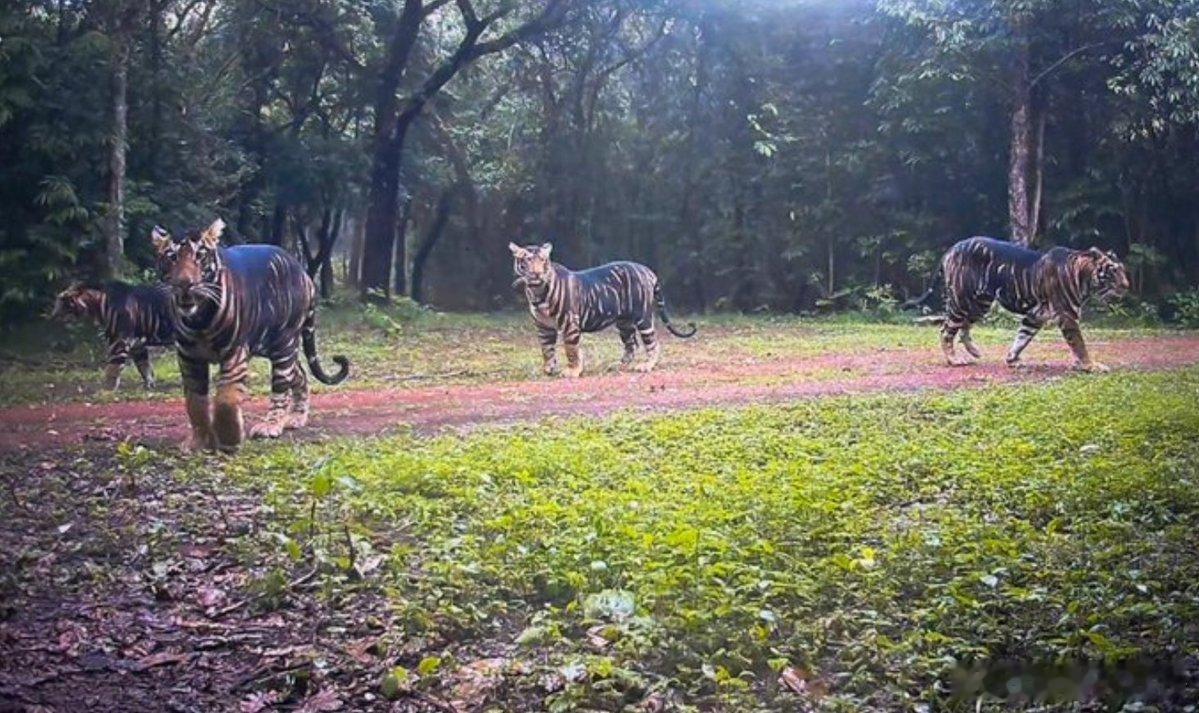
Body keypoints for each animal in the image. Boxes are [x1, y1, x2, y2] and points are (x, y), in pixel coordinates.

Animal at [151, 218, 349, 453]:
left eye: (200, 255)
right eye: (172, 257)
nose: (184, 283)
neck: (199, 319)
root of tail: (304, 274)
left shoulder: (234, 353)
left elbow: (226, 398)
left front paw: (230, 439)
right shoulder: (188, 357)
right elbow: (195, 402)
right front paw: (198, 441)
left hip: (283, 344)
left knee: (282, 387)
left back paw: (271, 426)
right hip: (271, 345)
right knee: (299, 373)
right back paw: (296, 417)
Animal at [508, 242, 696, 377]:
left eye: (542, 260)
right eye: (527, 260)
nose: (537, 273)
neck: (537, 291)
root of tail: (647, 270)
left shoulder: (569, 323)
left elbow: (571, 349)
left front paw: (573, 371)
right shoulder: (544, 326)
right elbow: (546, 349)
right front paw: (549, 369)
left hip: (642, 317)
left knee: (652, 343)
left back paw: (646, 366)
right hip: (624, 322)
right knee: (631, 344)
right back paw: (619, 366)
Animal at [913, 236, 1130, 372]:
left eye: (1122, 270)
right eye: (1113, 272)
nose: (1126, 286)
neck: (1083, 277)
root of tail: (952, 248)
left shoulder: (1034, 316)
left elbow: (1022, 338)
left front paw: (1012, 359)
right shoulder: (1067, 315)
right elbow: (1078, 343)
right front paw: (1089, 366)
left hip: (980, 303)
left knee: (964, 327)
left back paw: (974, 351)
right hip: (961, 301)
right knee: (946, 330)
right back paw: (954, 360)